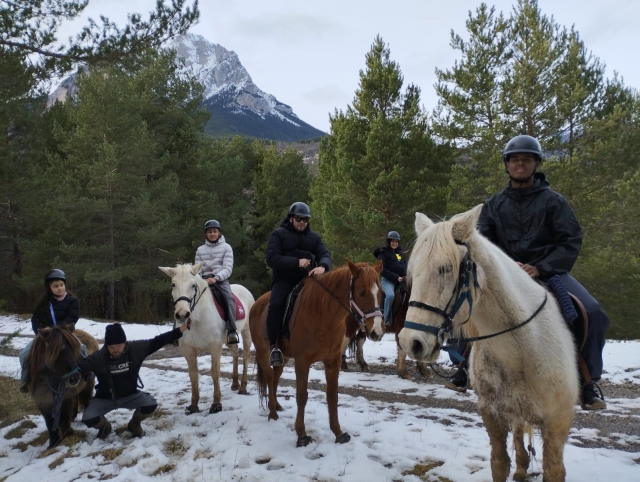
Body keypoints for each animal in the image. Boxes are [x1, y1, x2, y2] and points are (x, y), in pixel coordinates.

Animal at [159, 263, 254, 414]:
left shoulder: (214, 346)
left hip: (246, 332)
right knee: (235, 353)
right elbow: (193, 375)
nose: (182, 315)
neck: (197, 317)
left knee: (246, 357)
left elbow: (215, 372)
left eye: (193, 285)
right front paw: (193, 405)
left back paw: (243, 387)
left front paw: (216, 404)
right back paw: (234, 383)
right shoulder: (188, 349)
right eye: (173, 284)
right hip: (228, 339)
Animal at [250, 259, 384, 447]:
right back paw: (272, 413)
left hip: (284, 358)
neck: (322, 314)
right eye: (361, 292)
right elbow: (302, 396)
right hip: (263, 352)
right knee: (269, 378)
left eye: (382, 294)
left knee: (275, 378)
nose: (376, 332)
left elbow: (332, 396)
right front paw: (301, 435)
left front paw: (338, 433)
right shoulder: (302, 361)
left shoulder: (333, 361)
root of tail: (257, 303)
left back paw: (276, 406)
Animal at [398, 205, 578, 482]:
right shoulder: (492, 414)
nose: (412, 343)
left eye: (446, 269)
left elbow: (554, 471)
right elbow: (499, 463)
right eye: (412, 272)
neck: (520, 350)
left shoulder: (558, 421)